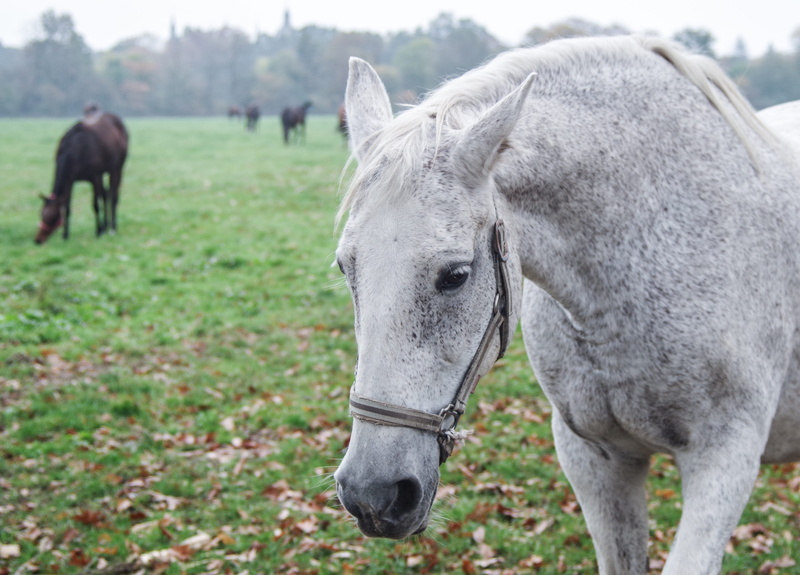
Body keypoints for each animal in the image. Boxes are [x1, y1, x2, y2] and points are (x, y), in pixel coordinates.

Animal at [35, 111, 128, 244]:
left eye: (54, 217)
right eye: (41, 213)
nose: (38, 240)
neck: (75, 151)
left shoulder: (95, 176)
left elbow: (95, 205)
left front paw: (99, 231)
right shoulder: (71, 179)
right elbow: (67, 207)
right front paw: (65, 235)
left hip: (116, 168)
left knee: (113, 196)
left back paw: (112, 228)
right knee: (106, 194)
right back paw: (106, 226)